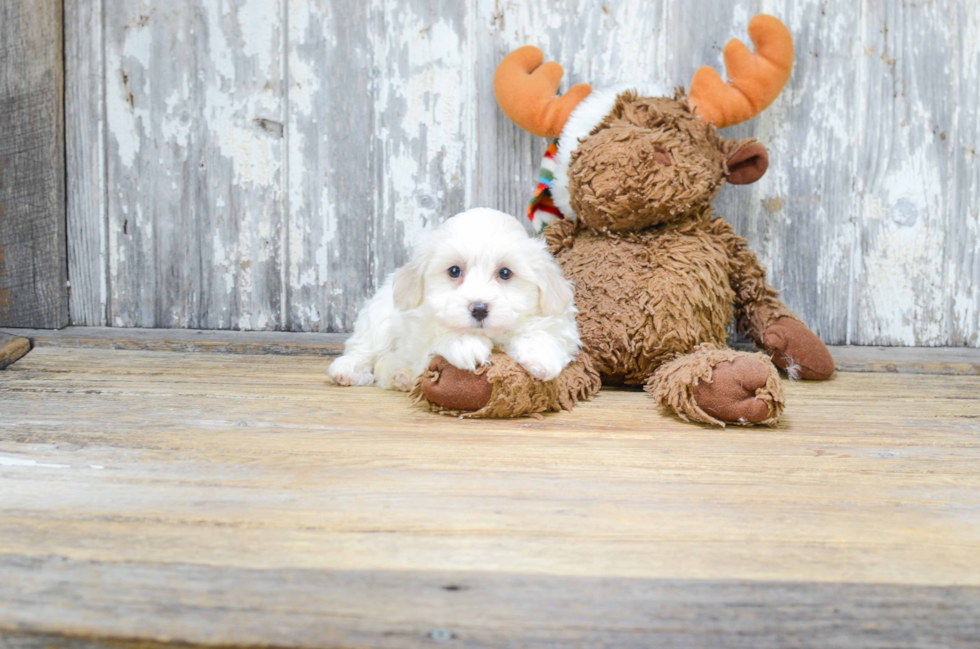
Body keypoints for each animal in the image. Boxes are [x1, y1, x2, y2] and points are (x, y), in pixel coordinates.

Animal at [330, 208, 580, 390]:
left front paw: (541, 357)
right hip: (378, 316)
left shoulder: (558, 321)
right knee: (366, 348)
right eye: (454, 271)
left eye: (505, 273)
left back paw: (400, 376)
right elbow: (439, 336)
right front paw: (465, 344)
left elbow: (543, 333)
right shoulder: (419, 336)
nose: (479, 309)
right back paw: (348, 370)